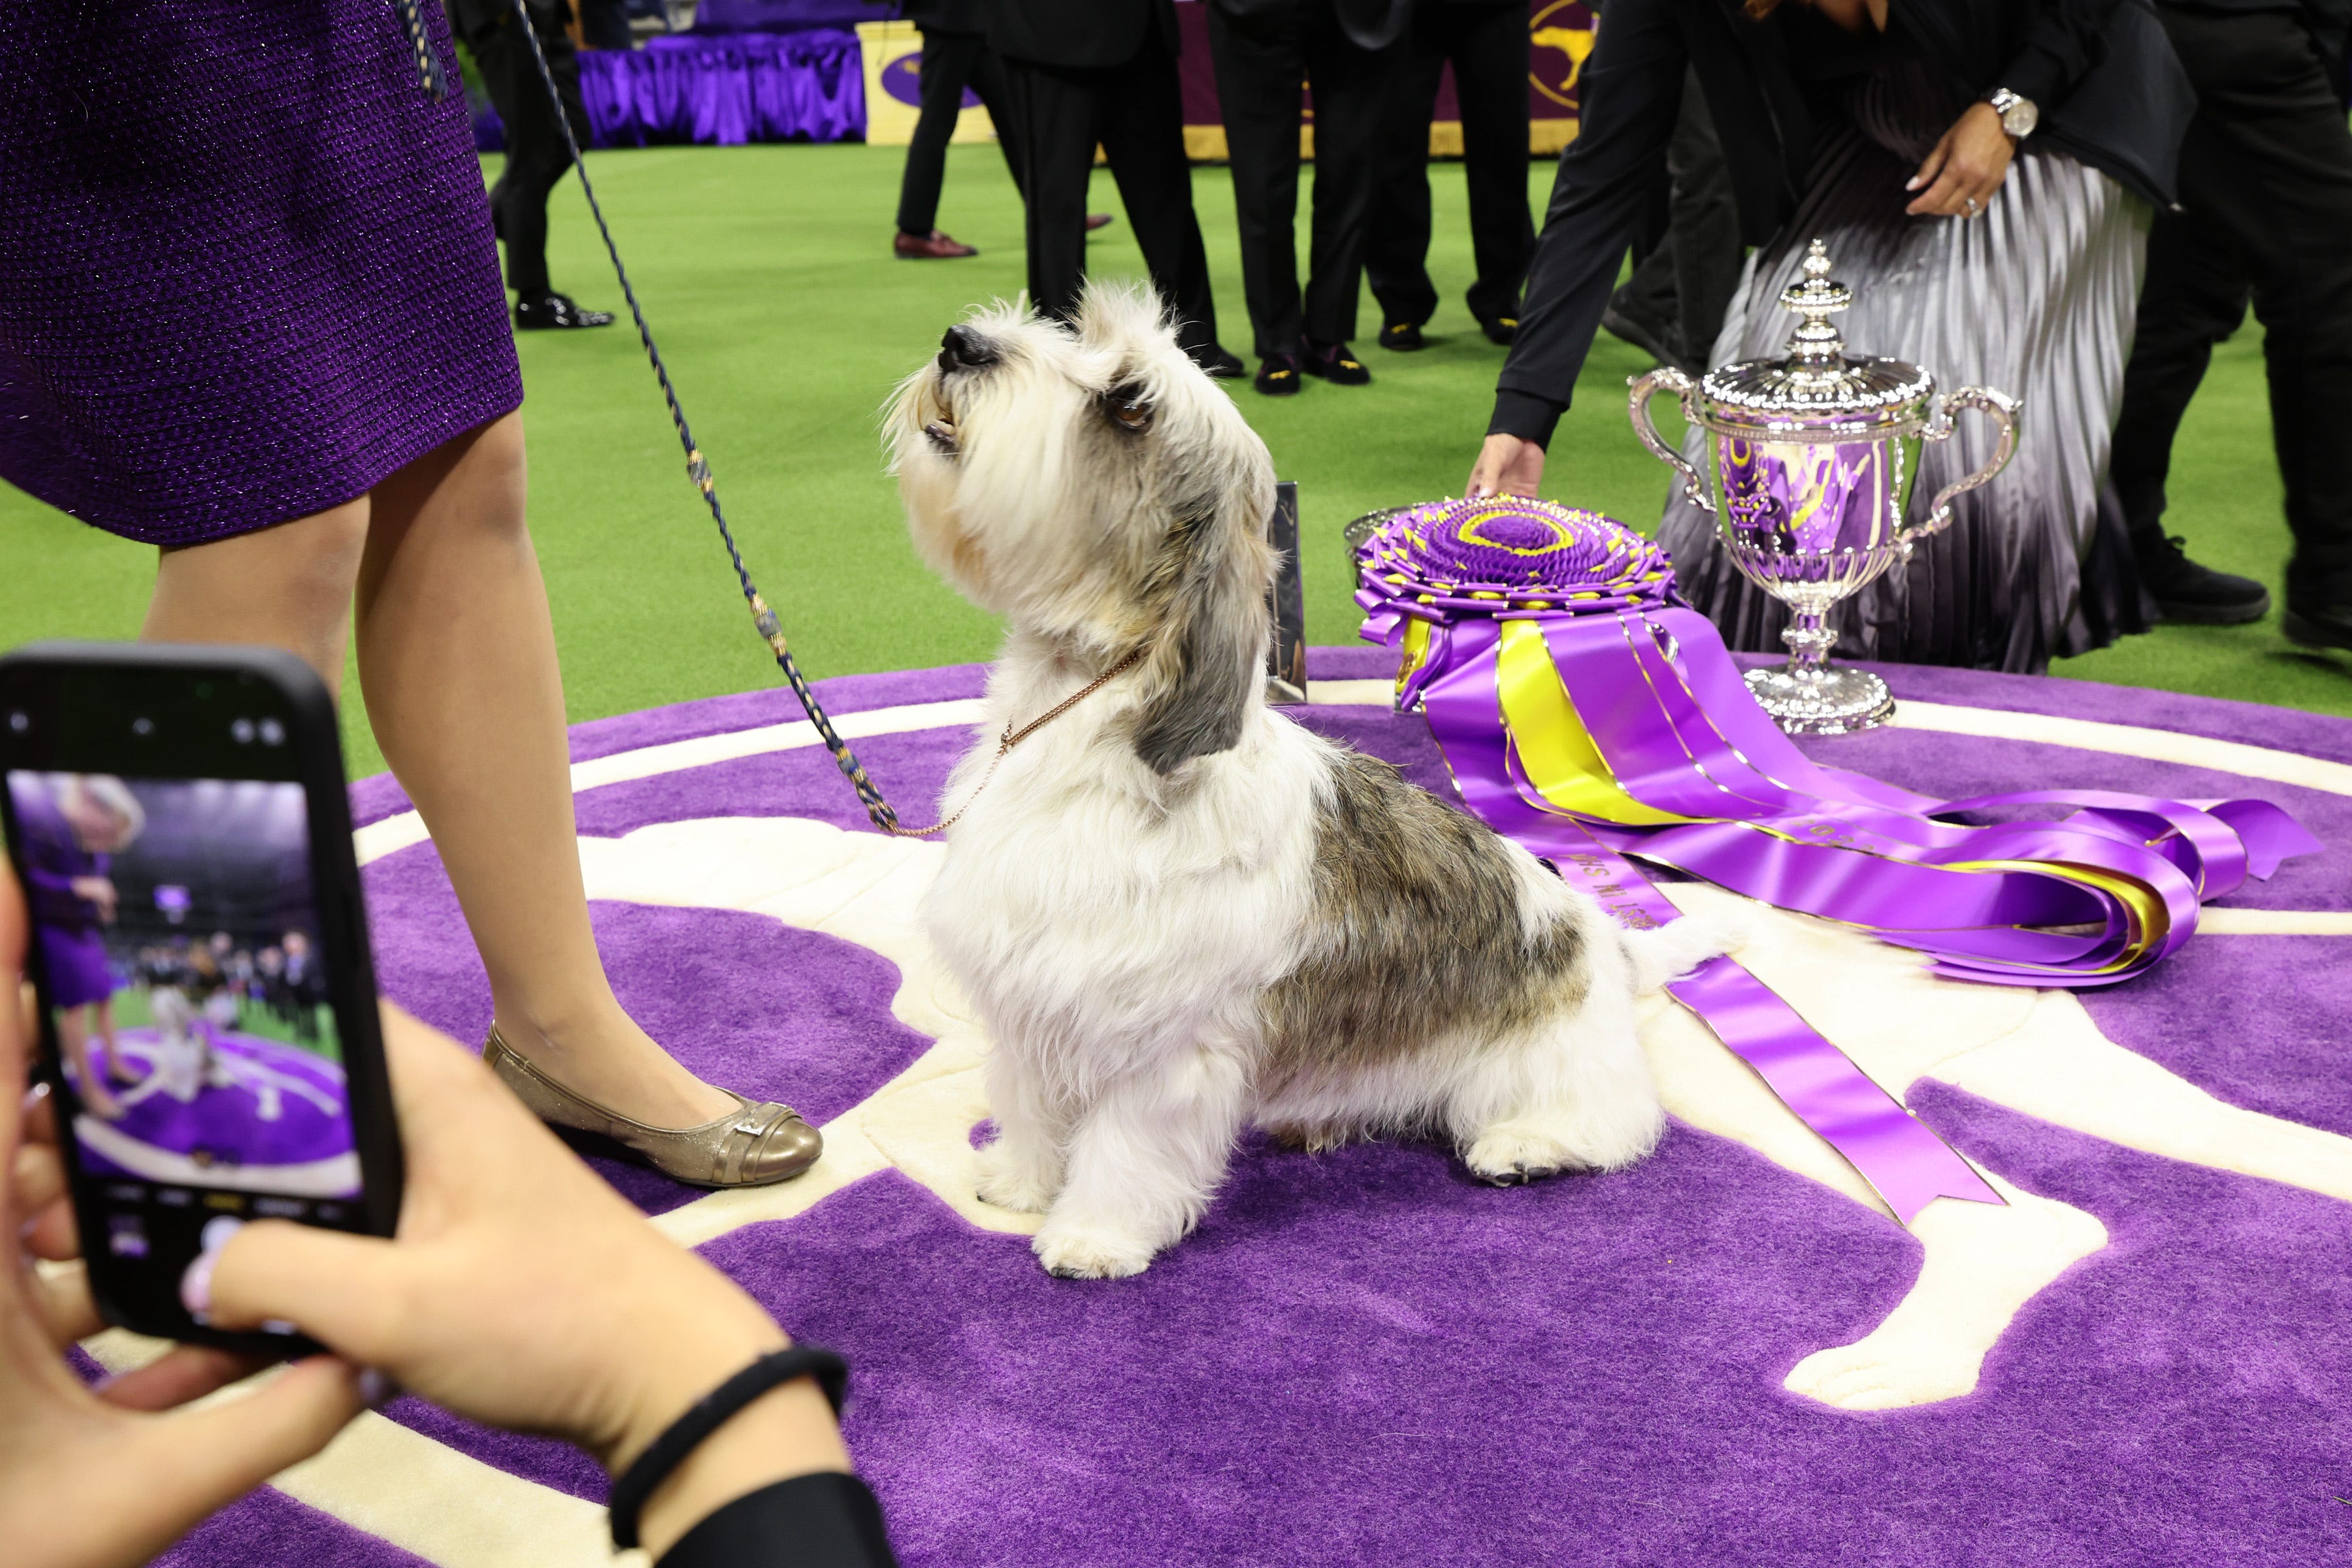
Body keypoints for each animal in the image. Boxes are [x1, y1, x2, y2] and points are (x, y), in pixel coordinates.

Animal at [884, 287, 1731, 1279]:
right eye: (1079, 330)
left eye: (1128, 405)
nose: (962, 344)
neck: (1091, 729)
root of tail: (1609, 944)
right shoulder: (1029, 998)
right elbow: (1029, 1102)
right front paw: (1020, 1183)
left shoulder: (1163, 1048)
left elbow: (1125, 1150)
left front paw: (1094, 1236)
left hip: (1544, 1069)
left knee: (1618, 1124)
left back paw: (1524, 1146)